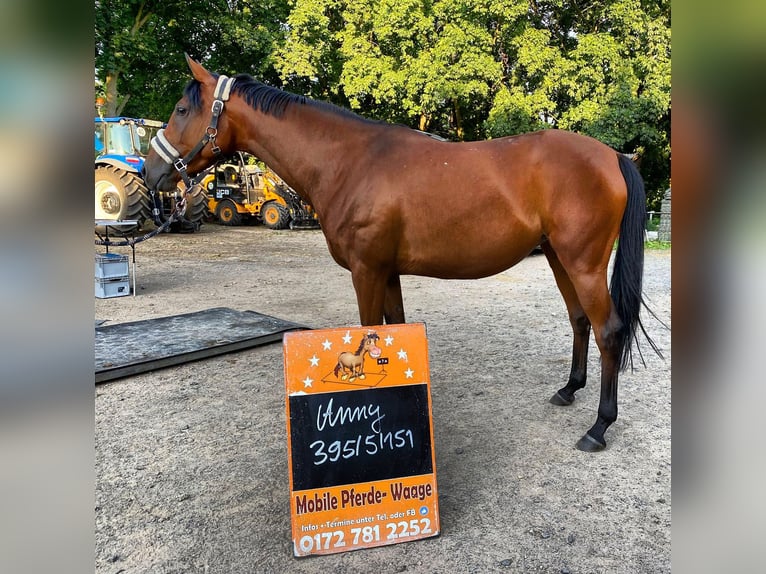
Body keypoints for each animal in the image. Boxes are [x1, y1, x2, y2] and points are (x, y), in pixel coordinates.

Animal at [146, 56, 664, 452]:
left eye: (181, 108)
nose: (152, 173)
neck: (349, 161)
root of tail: (614, 156)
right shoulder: (387, 272)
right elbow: (393, 329)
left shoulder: (366, 271)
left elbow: (369, 329)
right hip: (560, 259)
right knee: (580, 322)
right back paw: (568, 390)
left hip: (584, 264)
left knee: (608, 330)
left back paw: (598, 427)